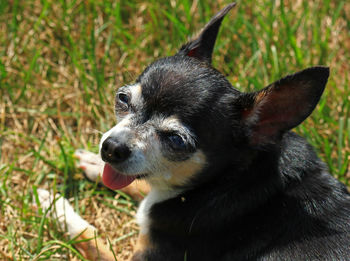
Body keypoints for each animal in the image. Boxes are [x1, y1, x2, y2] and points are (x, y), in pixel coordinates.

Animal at [36, 2, 350, 260]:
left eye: (176, 140)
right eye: (122, 99)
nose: (110, 148)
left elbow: (90, 236)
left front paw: (57, 208)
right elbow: (139, 186)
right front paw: (91, 163)